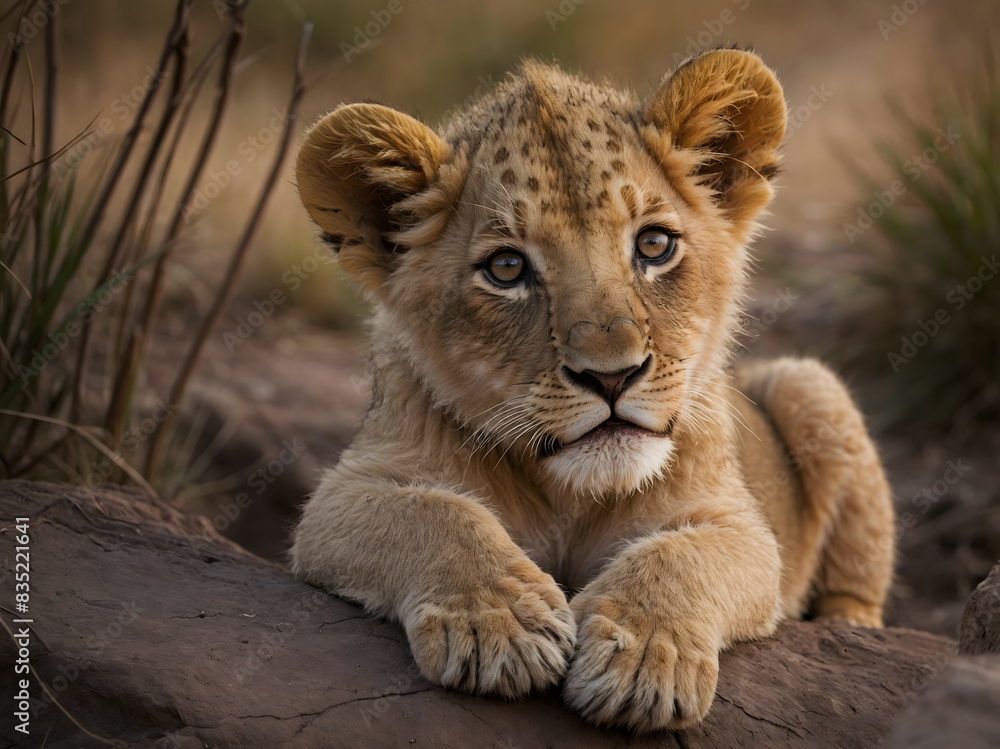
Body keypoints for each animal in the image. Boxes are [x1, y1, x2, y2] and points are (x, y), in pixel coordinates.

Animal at [289, 48, 895, 733]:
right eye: (507, 268)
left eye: (654, 244)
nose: (612, 376)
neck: (570, 494)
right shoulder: (342, 495)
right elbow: (434, 514)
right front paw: (501, 623)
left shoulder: (740, 526)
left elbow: (678, 556)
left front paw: (644, 659)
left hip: (808, 384)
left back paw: (851, 628)